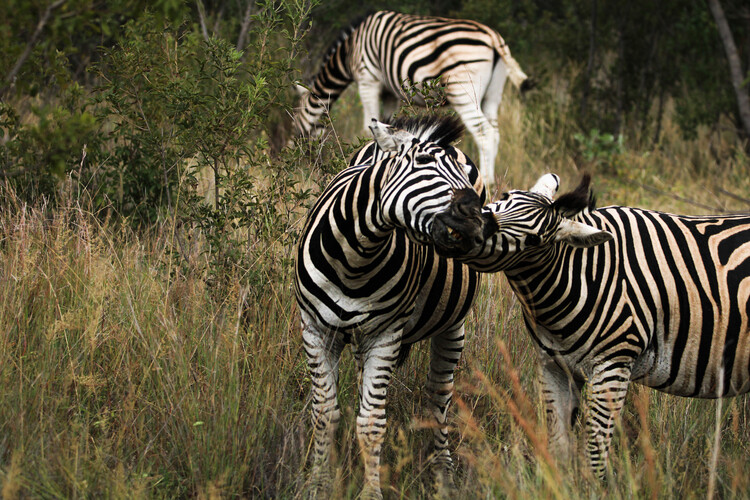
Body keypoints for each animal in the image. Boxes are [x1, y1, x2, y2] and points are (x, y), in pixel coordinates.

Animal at [292, 10, 533, 189]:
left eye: (297, 125)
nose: (303, 166)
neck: (350, 51)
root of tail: (493, 36)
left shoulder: (368, 79)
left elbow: (367, 125)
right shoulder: (389, 92)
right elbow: (387, 122)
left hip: (463, 89)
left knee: (484, 132)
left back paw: (489, 181)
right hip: (493, 93)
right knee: (495, 131)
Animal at [295, 115, 496, 498]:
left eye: (464, 177)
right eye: (423, 162)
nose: (481, 221)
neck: (355, 257)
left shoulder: (385, 336)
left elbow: (372, 421)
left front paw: (371, 492)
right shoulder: (315, 330)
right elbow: (324, 414)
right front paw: (317, 484)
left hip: (453, 326)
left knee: (439, 398)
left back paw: (443, 474)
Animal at [465, 172, 750, 478]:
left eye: (533, 241)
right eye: (504, 197)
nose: (467, 225)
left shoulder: (613, 366)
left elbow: (593, 455)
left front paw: (589, 486)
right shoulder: (553, 365)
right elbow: (559, 449)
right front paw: (560, 484)